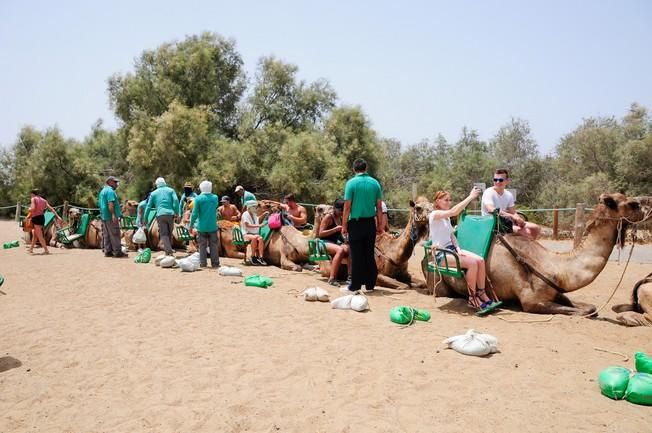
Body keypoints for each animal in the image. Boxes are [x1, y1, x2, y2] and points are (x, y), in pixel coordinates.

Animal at [426, 192, 644, 314]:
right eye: (629, 203)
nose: (643, 205)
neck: (555, 266)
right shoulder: (531, 301)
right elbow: (579, 311)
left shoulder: (556, 292)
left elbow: (589, 308)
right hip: (439, 282)